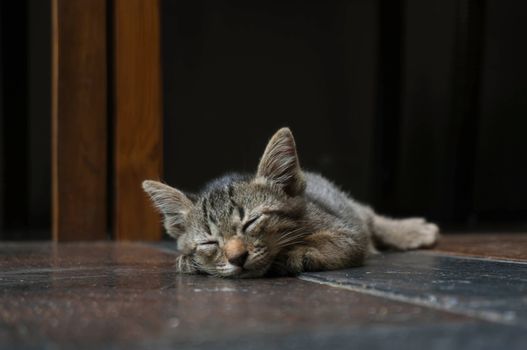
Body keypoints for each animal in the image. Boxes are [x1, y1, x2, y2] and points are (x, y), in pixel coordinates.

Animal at [142, 127, 440, 278]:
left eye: (252, 222)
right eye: (209, 242)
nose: (237, 257)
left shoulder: (348, 231)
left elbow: (334, 241)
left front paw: (297, 252)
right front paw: (188, 261)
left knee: (371, 218)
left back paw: (413, 231)